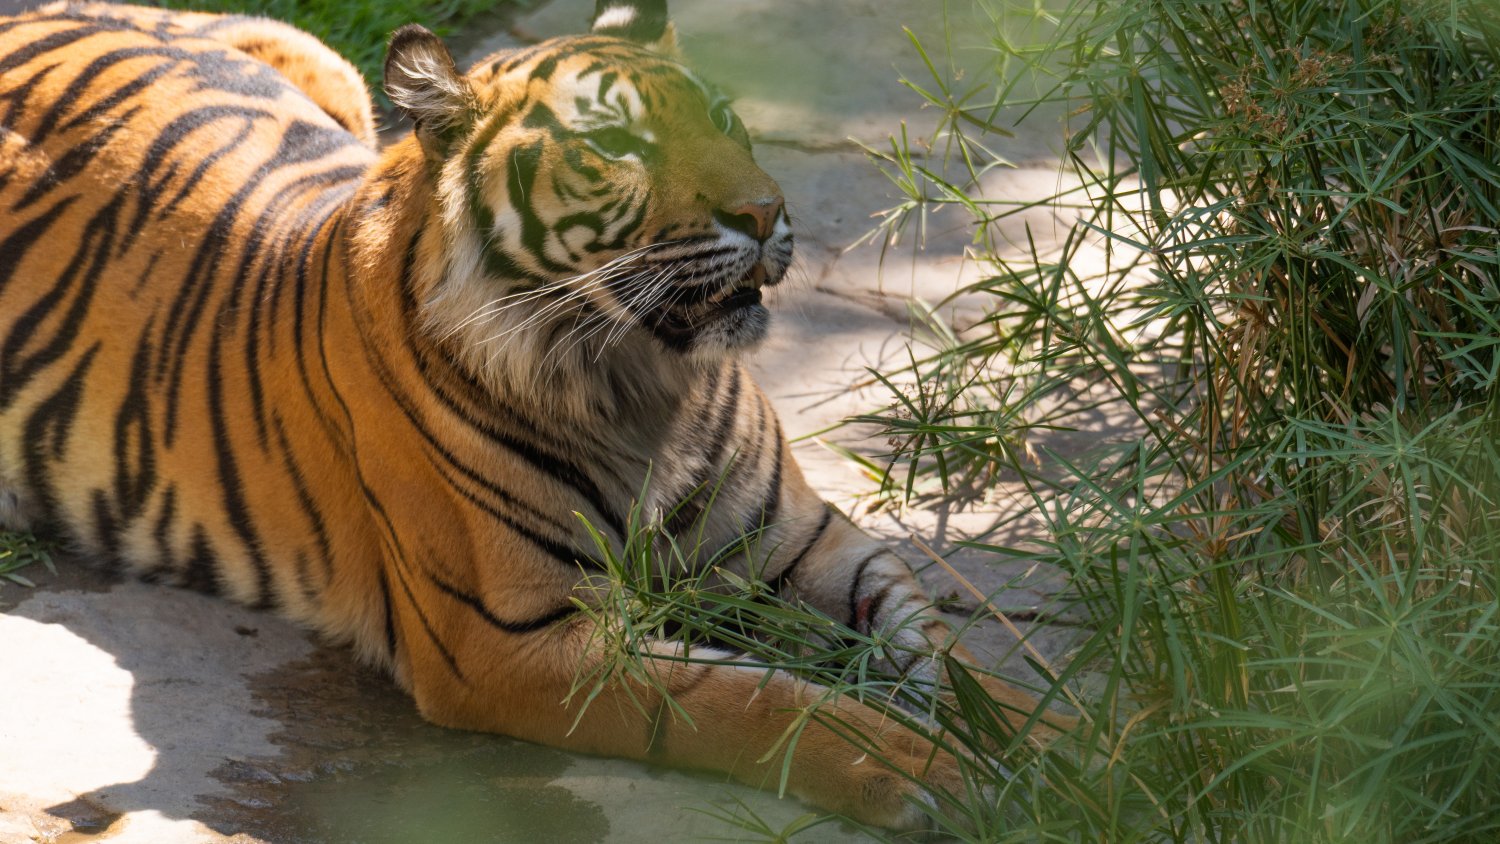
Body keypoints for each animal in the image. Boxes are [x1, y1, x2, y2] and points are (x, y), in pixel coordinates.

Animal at [0, 0, 1071, 830]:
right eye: (616, 148)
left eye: (726, 117)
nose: (767, 213)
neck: (644, 384)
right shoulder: (519, 643)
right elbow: (759, 698)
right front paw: (931, 771)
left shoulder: (805, 549)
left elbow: (951, 653)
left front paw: (1077, 737)